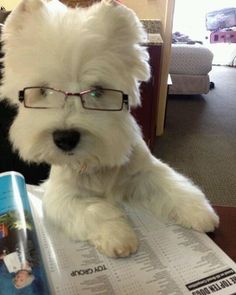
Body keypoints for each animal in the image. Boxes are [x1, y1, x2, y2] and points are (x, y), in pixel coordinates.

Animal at [0, 0, 218, 258]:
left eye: (97, 91)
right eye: (43, 91)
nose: (65, 138)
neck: (93, 164)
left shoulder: (145, 171)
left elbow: (173, 184)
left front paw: (199, 211)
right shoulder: (60, 193)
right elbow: (92, 209)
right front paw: (118, 236)